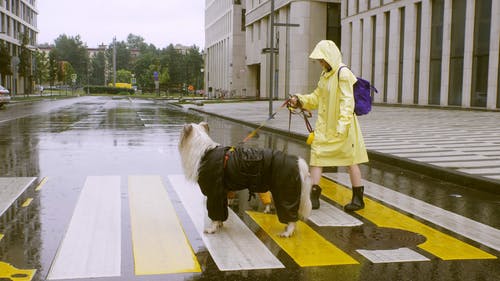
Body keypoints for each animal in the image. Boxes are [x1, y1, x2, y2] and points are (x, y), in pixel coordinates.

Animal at [179, 121, 312, 236]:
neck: (205, 151)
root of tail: (297, 161)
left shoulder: (214, 193)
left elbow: (215, 213)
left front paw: (212, 228)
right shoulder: (222, 193)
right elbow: (222, 212)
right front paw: (220, 224)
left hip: (286, 194)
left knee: (292, 218)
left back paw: (288, 232)